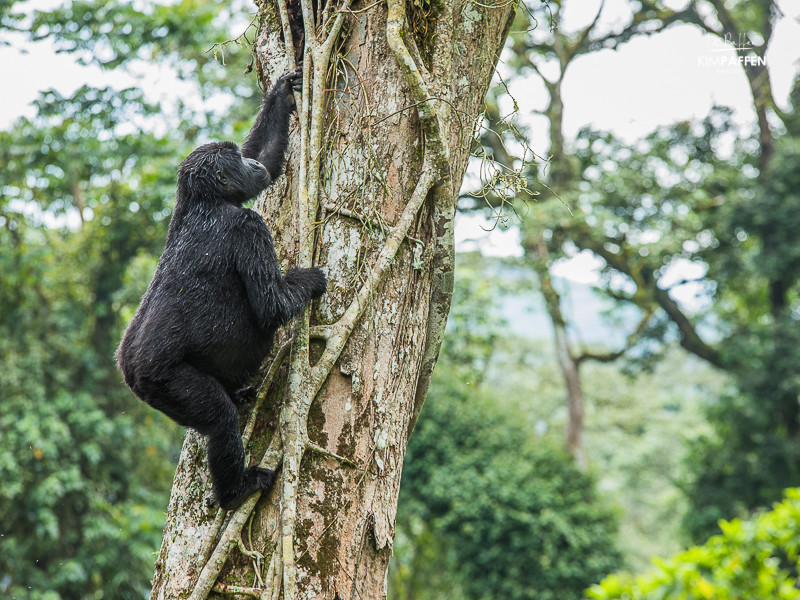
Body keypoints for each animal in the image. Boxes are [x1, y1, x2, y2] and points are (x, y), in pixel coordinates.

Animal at [116, 70, 328, 510]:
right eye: (236, 161)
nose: (249, 164)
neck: (205, 200)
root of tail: (127, 371)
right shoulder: (249, 228)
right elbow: (271, 306)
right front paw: (309, 281)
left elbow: (269, 156)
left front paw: (283, 93)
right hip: (167, 385)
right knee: (218, 420)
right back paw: (235, 490)